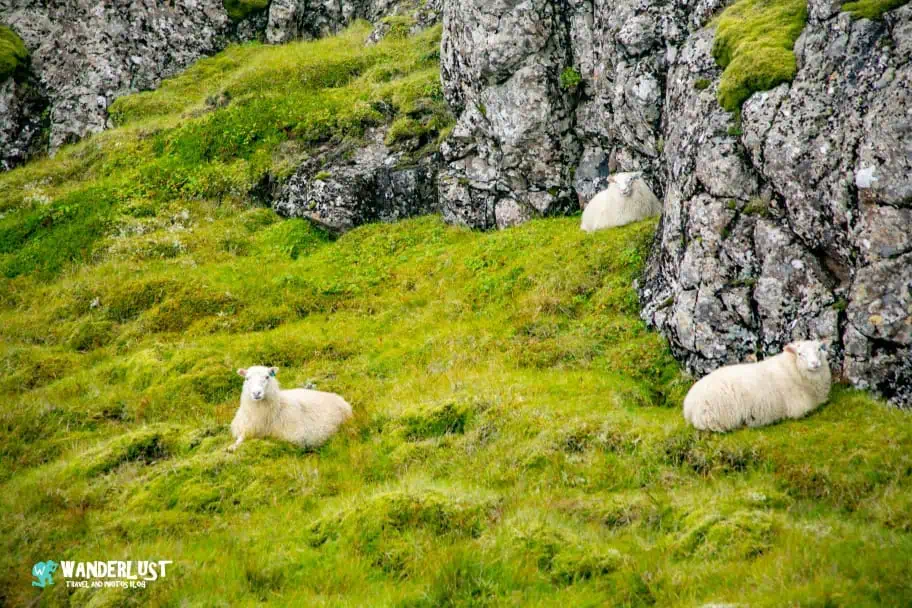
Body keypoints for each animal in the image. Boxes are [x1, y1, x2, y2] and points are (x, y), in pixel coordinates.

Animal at [683, 340, 832, 432]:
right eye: (800, 354)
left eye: (819, 349)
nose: (815, 363)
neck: (793, 369)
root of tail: (688, 405)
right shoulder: (800, 408)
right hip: (719, 418)